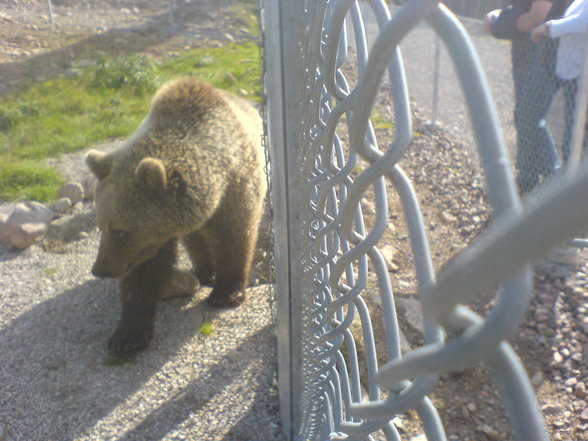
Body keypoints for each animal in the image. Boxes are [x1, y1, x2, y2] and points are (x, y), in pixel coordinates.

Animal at [85, 77, 266, 356]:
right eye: (101, 225)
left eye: (120, 231)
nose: (100, 269)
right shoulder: (155, 236)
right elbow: (143, 272)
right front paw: (127, 336)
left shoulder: (236, 186)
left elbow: (234, 236)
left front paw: (226, 294)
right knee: (196, 240)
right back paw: (204, 270)